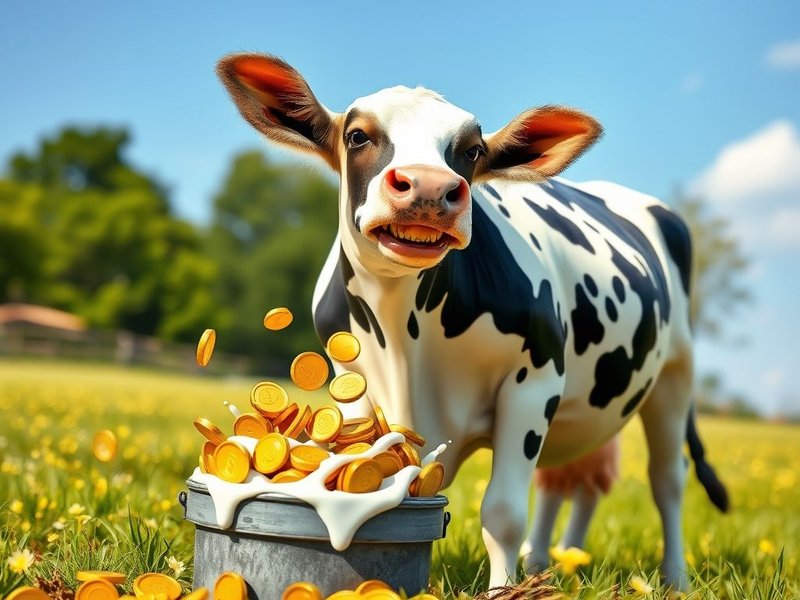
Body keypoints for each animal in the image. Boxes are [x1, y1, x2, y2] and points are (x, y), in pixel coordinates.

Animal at [216, 53, 728, 592]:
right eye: (357, 136)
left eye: (472, 150)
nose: (429, 185)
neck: (406, 340)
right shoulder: (352, 382)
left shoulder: (535, 382)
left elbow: (502, 511)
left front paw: (503, 591)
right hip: (592, 397)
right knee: (570, 479)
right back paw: (545, 564)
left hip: (675, 374)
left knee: (667, 480)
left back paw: (674, 579)